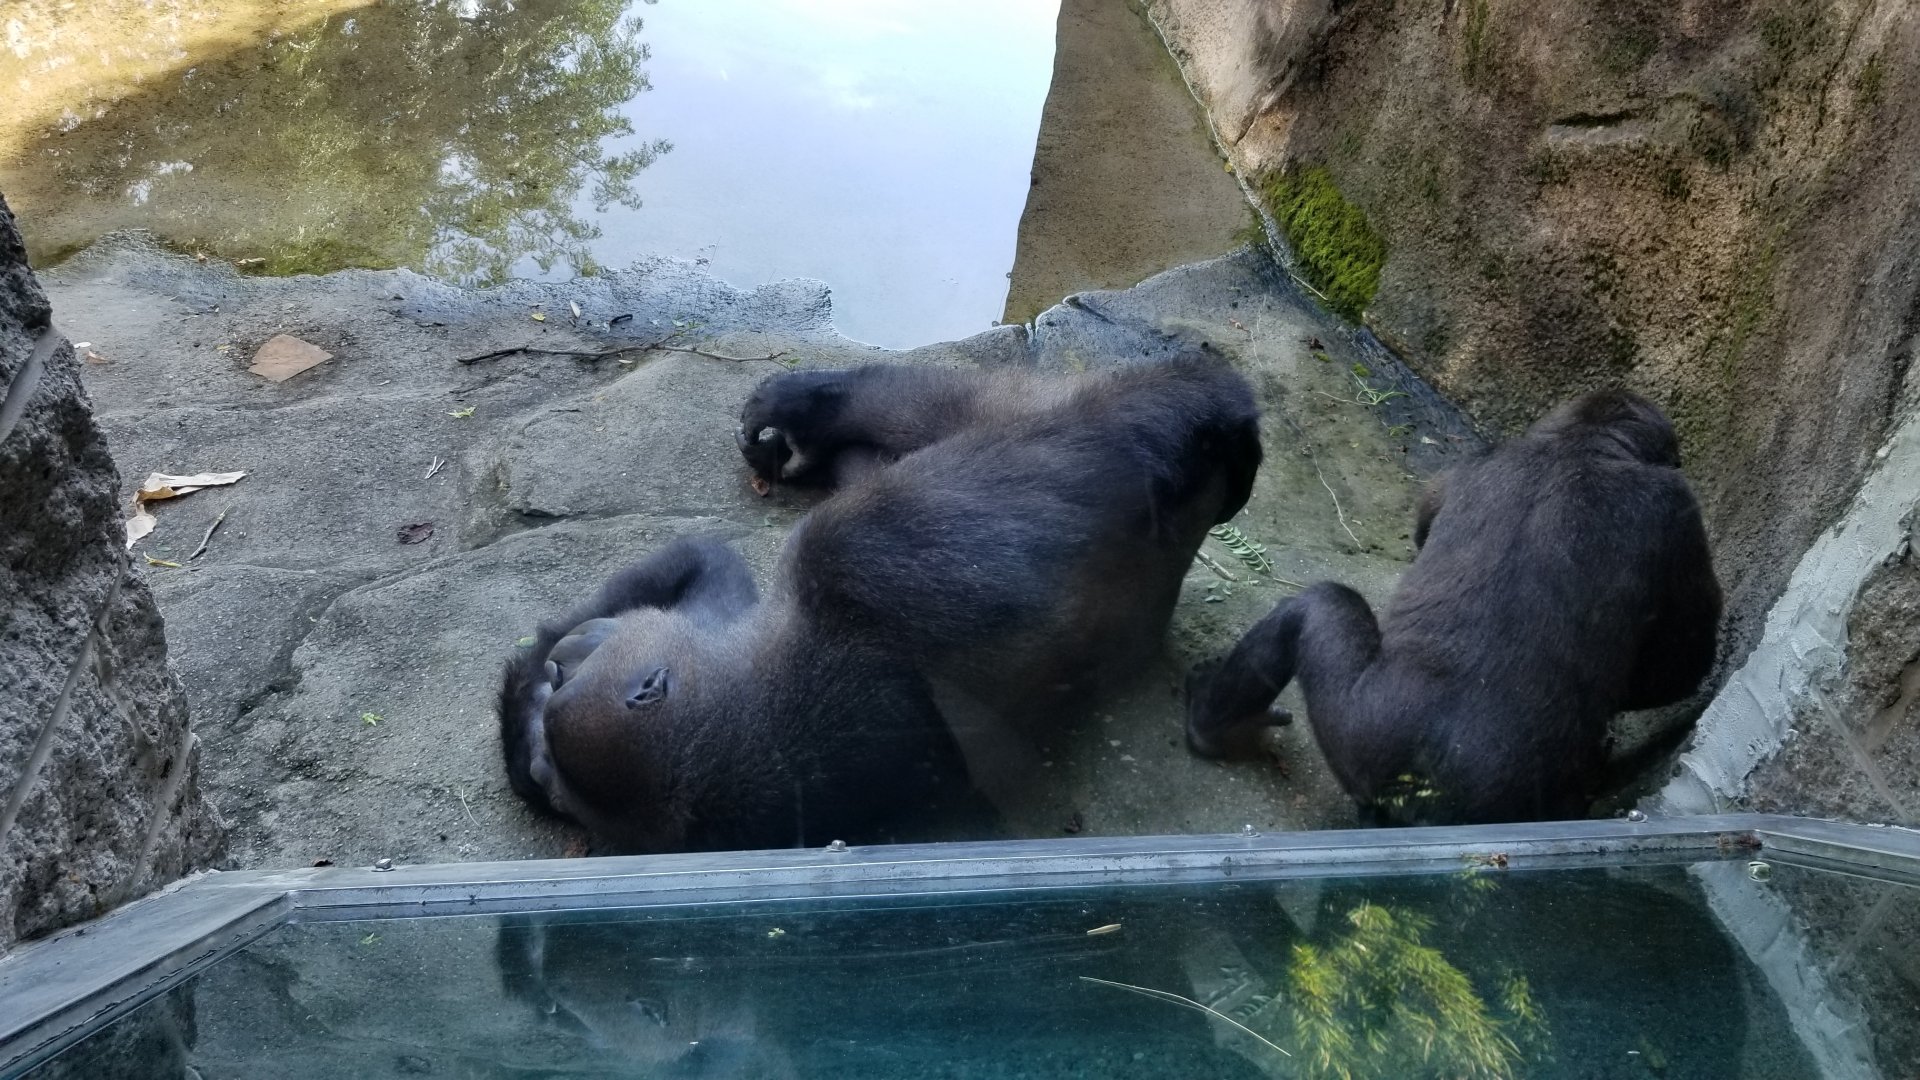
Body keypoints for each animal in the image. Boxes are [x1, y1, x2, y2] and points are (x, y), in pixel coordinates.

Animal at [1185, 389, 1722, 825]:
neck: (1578, 444)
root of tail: (1428, 789)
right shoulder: (1674, 507)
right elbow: (1682, 666)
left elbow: (1680, 666)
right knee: (1321, 605)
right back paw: (1216, 727)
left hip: (1371, 738)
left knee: (1317, 606)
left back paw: (1215, 725)